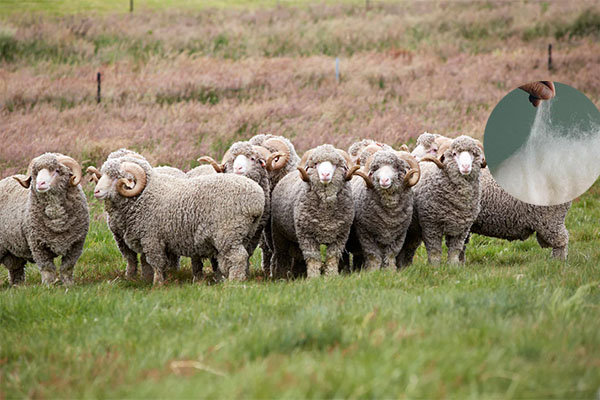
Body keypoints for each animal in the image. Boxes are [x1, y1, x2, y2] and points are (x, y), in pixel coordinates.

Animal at [0, 153, 89, 284]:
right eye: (36, 173)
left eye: (57, 170)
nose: (40, 184)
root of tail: (4, 179)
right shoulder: (37, 245)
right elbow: (47, 269)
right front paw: (48, 285)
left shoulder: (76, 244)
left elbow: (67, 268)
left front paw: (68, 284)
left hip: (13, 250)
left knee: (16, 269)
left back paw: (18, 285)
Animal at [89, 153, 264, 284]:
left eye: (117, 177)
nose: (96, 191)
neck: (145, 194)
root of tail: (257, 199)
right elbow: (149, 263)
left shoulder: (152, 238)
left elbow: (156, 263)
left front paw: (157, 284)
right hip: (244, 233)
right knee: (242, 256)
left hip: (228, 233)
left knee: (238, 257)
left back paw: (234, 282)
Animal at [272, 144, 360, 278]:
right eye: (316, 164)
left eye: (335, 164)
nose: (325, 174)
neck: (325, 214)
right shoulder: (307, 235)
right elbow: (313, 258)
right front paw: (313, 277)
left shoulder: (340, 236)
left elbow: (332, 257)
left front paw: (331, 276)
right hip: (279, 235)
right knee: (282, 256)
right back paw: (281, 276)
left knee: (297, 255)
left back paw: (298, 274)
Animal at [398, 137, 488, 266]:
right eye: (454, 153)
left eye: (474, 153)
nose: (466, 167)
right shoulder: (431, 226)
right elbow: (434, 251)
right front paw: (434, 267)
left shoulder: (461, 230)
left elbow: (455, 251)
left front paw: (453, 266)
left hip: (414, 230)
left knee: (409, 247)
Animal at [412, 133, 572, 260]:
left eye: (433, 149)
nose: (412, 158)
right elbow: (461, 246)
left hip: (550, 218)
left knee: (561, 241)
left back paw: (557, 263)